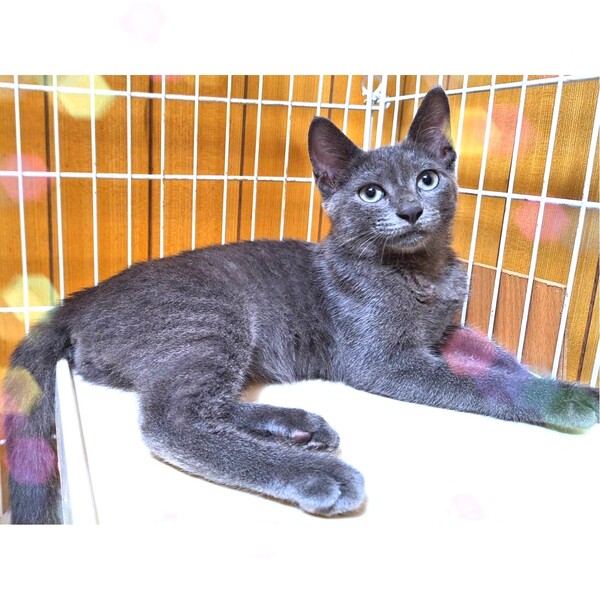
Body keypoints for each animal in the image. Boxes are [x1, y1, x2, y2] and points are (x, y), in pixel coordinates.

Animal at [2, 86, 598, 524]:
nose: (410, 210)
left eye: (428, 179)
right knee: (174, 418)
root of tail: (84, 297)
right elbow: (484, 384)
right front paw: (567, 403)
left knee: (204, 403)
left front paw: (554, 382)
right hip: (210, 316)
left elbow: (496, 358)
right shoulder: (383, 361)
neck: (421, 271)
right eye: (370, 193)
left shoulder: (444, 332)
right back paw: (317, 473)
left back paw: (300, 428)